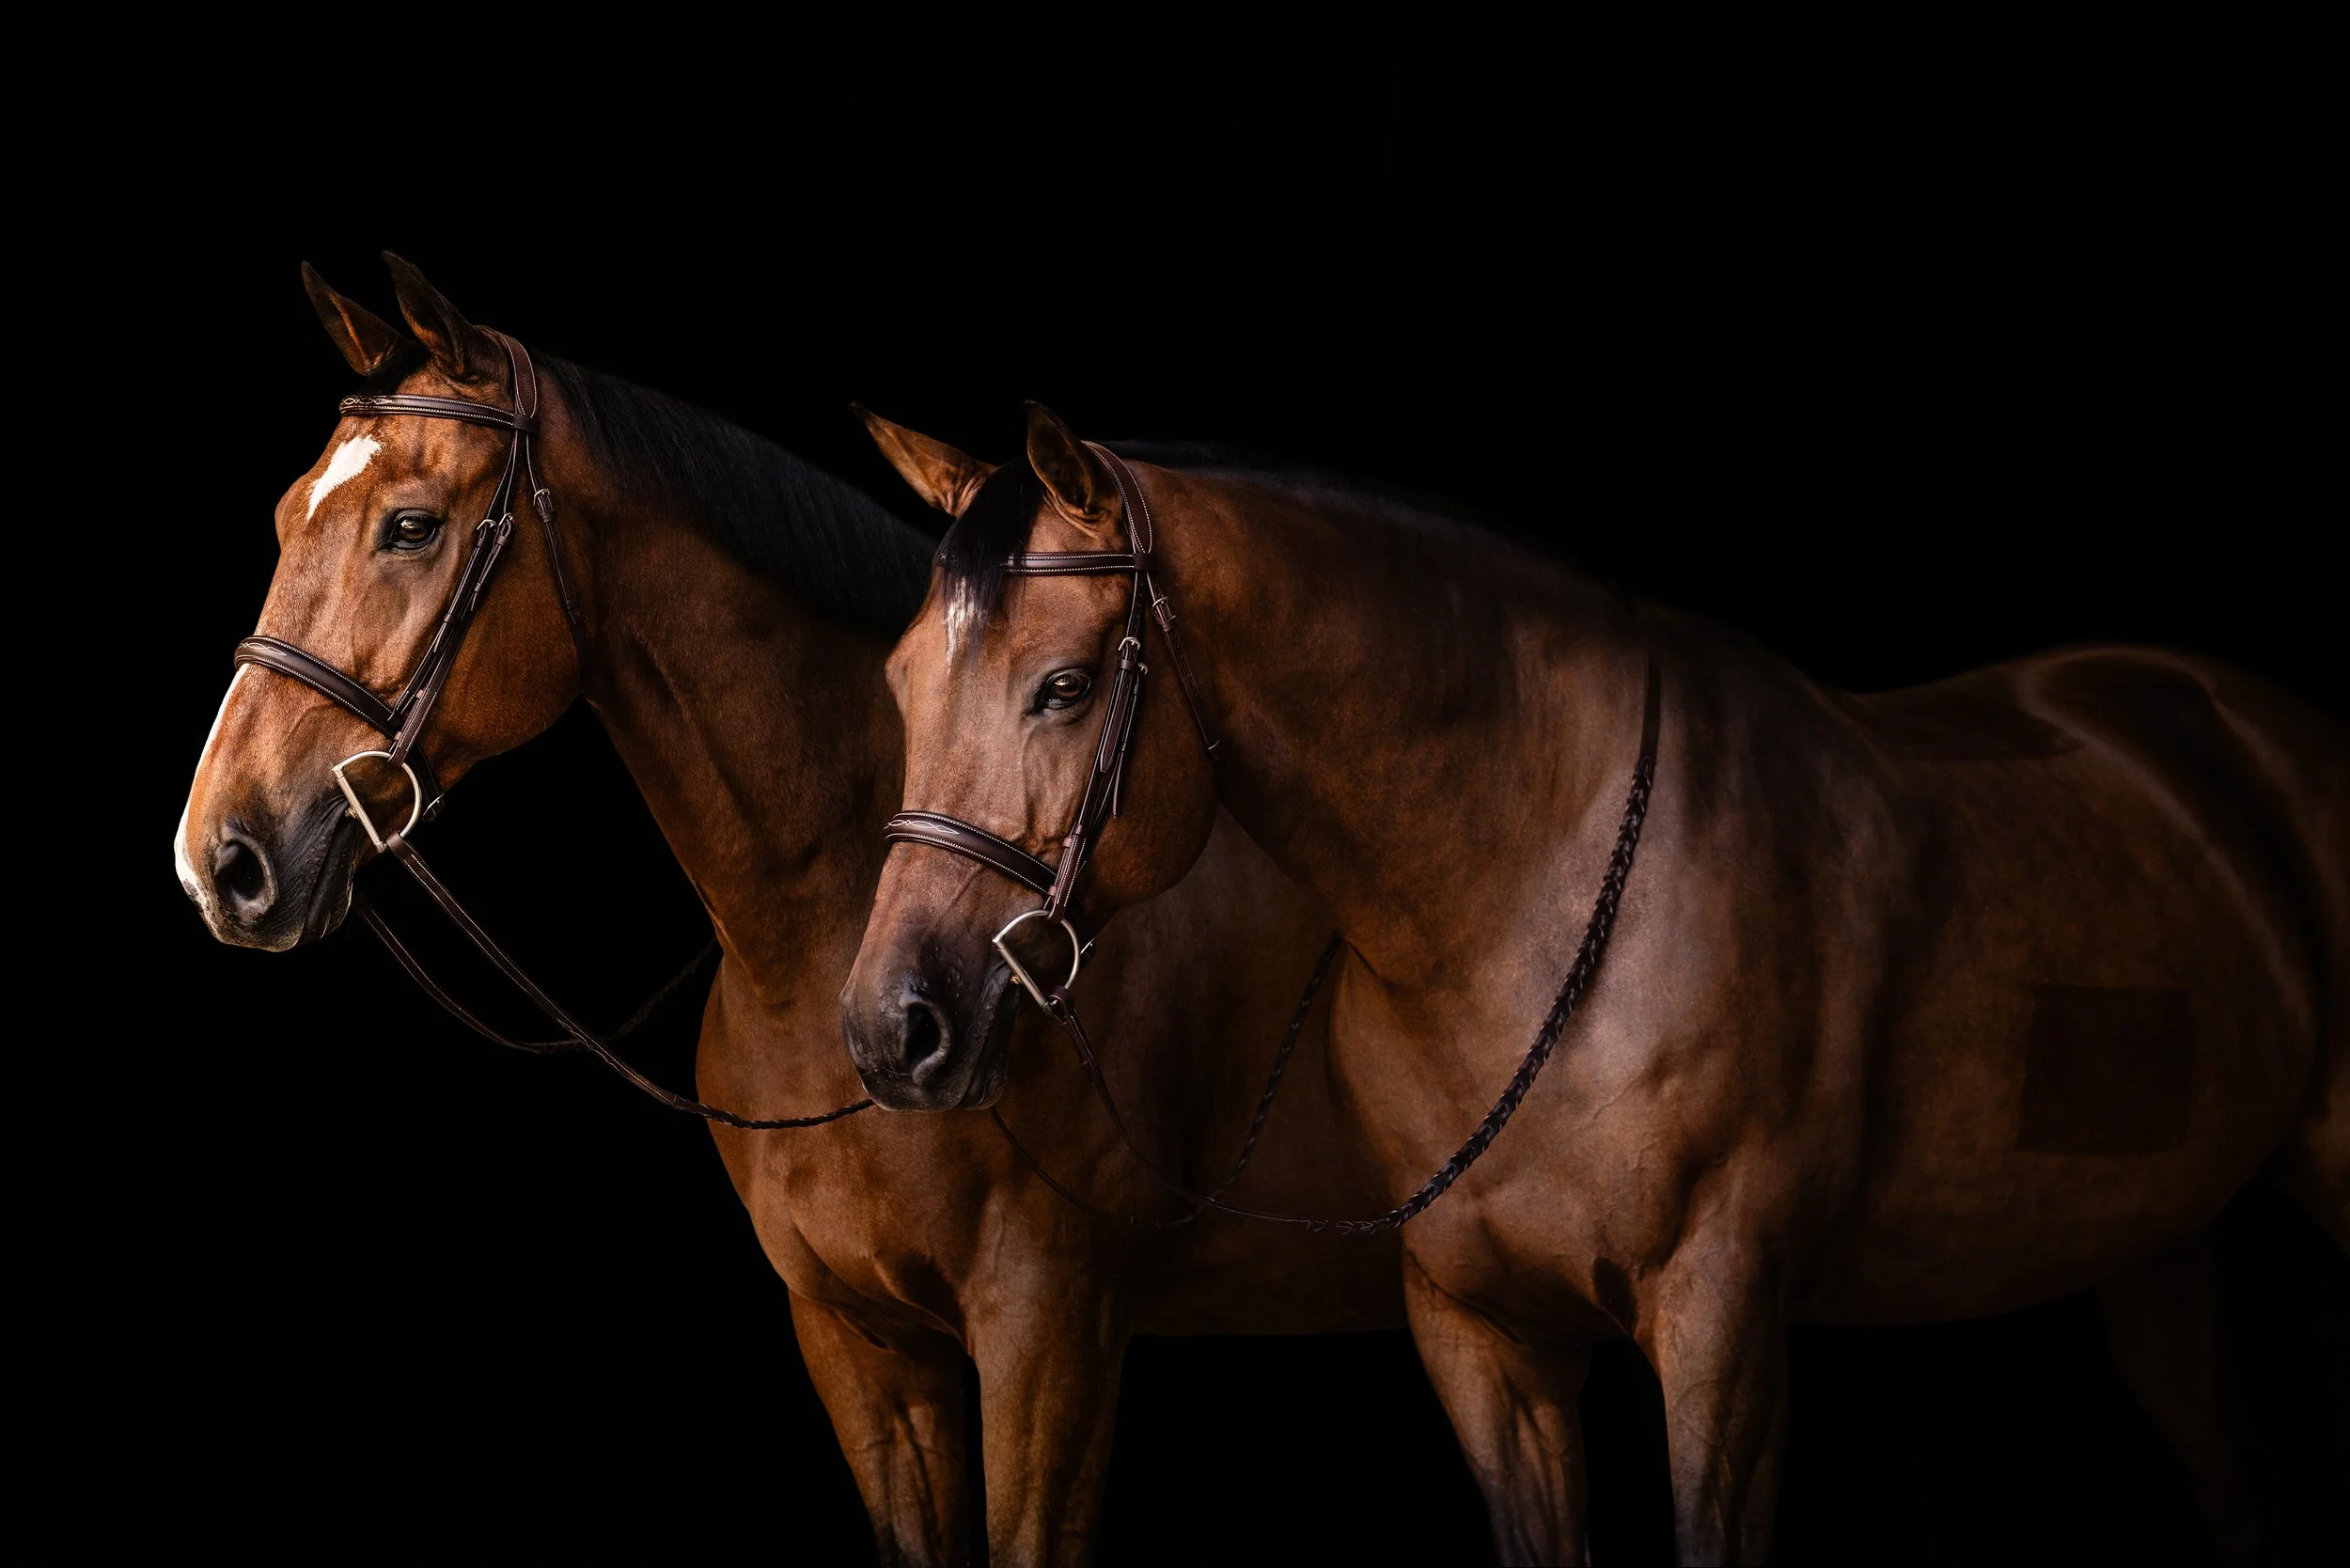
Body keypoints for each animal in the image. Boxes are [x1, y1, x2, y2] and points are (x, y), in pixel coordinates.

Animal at [173, 257, 1402, 1567]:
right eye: (285, 516)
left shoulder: (1052, 1339)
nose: (219, 856)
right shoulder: (856, 1342)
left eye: (409, 526)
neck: (822, 956)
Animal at [841, 401, 2349, 1564]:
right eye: (901, 680)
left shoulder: (1721, 1325)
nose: (891, 1028)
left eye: (1062, 685)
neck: (1529, 895)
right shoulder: (1484, 1343)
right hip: (2157, 1252)